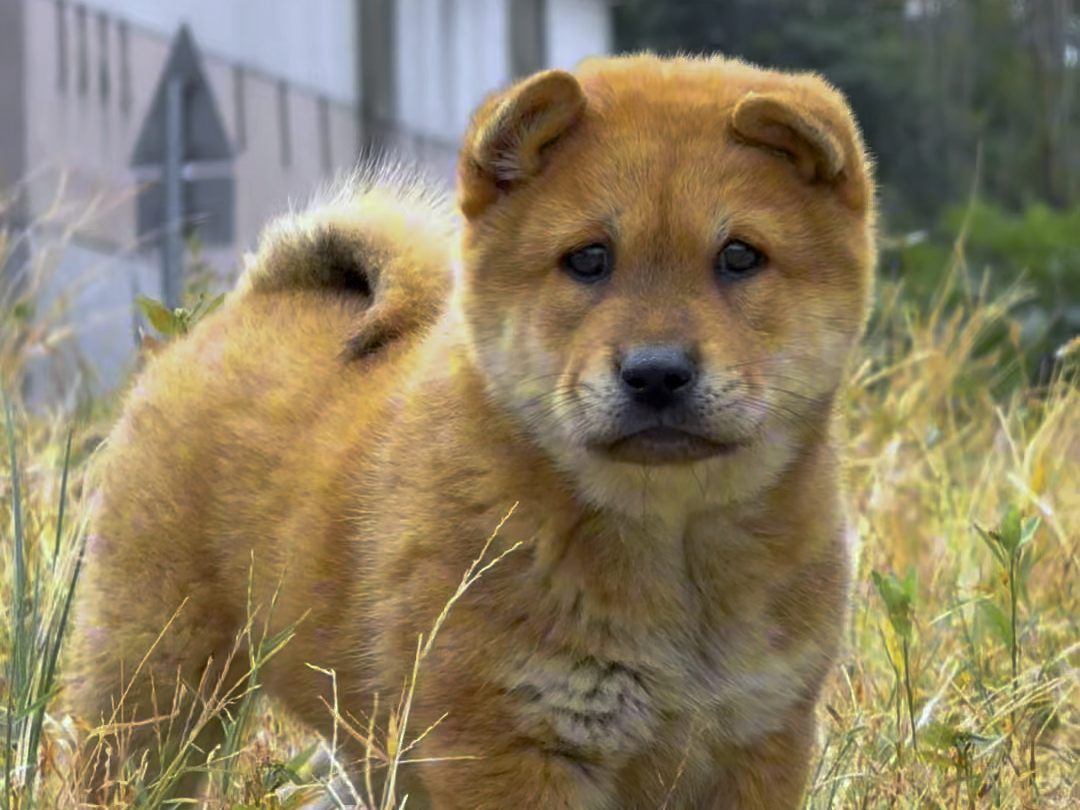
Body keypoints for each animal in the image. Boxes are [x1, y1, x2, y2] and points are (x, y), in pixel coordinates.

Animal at [69, 52, 876, 810]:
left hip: (368, 753)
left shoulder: (759, 738)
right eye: (589, 259)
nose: (655, 373)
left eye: (739, 257)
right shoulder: (507, 742)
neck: (673, 546)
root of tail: (252, 304)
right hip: (155, 682)